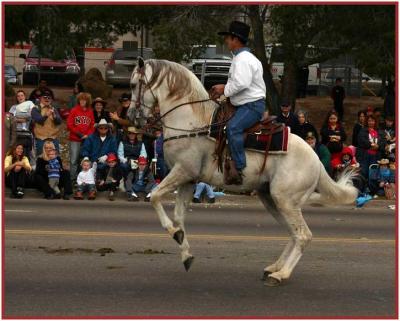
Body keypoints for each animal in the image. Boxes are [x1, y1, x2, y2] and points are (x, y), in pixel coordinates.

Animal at [130, 58, 358, 284]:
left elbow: (155, 196)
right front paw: (185, 253)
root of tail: (316, 161)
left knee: (303, 235)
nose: (132, 116)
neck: (192, 123)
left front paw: (173, 233)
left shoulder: (182, 171)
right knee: (293, 233)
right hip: (272, 199)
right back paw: (274, 267)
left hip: (285, 199)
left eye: (133, 85)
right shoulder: (189, 180)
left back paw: (280, 274)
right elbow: (179, 217)